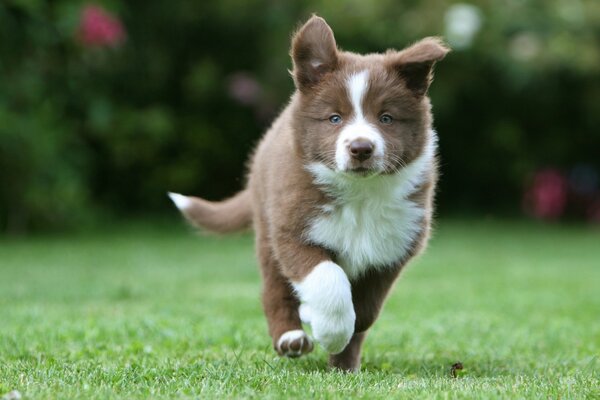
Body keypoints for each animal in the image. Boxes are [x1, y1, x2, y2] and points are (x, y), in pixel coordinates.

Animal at [166, 15, 448, 372]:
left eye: (386, 118)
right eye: (334, 118)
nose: (361, 148)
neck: (360, 194)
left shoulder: (395, 246)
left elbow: (365, 310)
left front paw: (338, 342)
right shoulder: (292, 228)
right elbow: (328, 279)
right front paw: (330, 330)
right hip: (266, 229)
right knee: (274, 290)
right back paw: (291, 337)